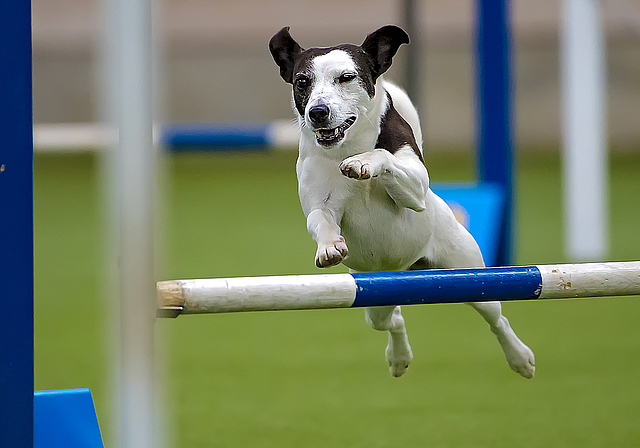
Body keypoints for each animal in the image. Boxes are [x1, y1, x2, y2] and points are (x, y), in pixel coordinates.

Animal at [268, 25, 536, 378]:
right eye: (302, 81)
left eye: (346, 77)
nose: (317, 112)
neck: (346, 146)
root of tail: (402, 268)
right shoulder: (319, 204)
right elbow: (321, 221)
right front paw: (329, 247)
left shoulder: (416, 189)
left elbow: (383, 156)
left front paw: (364, 162)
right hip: (374, 294)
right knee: (392, 318)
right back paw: (398, 356)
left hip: (471, 278)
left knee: (497, 318)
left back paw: (520, 358)